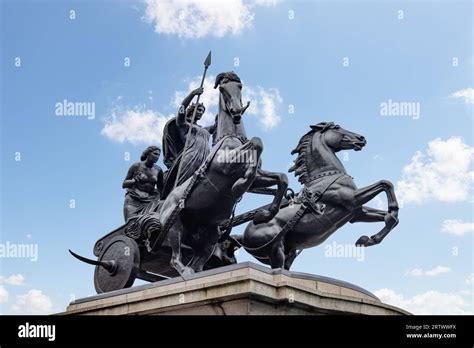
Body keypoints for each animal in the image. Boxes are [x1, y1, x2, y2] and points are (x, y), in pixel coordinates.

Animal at [239, 122, 398, 270]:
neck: (325, 176)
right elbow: (385, 184)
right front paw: (386, 220)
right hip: (275, 250)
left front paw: (369, 239)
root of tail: (243, 235)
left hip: (289, 251)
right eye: (337, 127)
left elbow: (389, 217)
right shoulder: (352, 199)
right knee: (279, 270)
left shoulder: (356, 213)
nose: (361, 138)